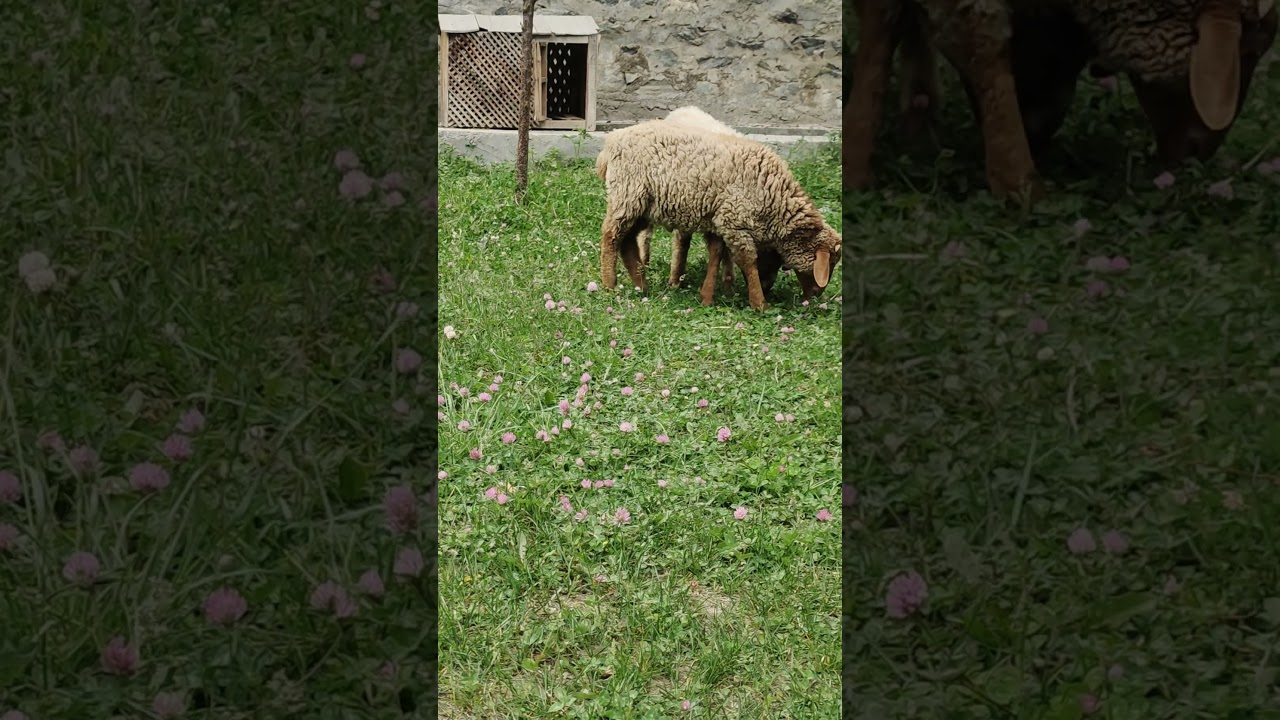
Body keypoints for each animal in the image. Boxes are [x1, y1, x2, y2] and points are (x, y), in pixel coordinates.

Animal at [596, 120, 839, 311]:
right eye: (830, 262)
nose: (816, 295)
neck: (775, 199)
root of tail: (611, 142)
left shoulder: (720, 221)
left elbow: (716, 255)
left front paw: (707, 297)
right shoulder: (734, 221)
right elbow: (747, 261)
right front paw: (759, 304)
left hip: (643, 207)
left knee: (627, 241)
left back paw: (641, 286)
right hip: (627, 193)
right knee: (611, 236)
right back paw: (610, 285)